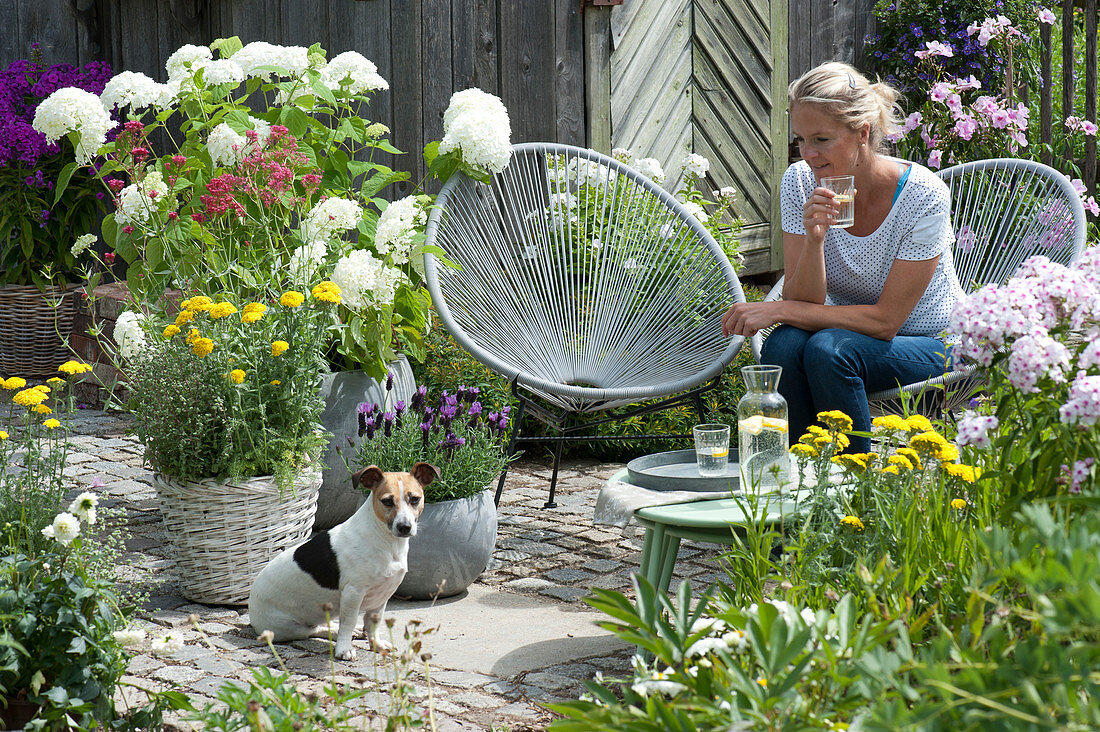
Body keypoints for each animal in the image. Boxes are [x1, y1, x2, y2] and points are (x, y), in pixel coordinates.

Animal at [249, 462, 437, 656]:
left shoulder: (382, 594)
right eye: (387, 501)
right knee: (312, 630)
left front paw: (376, 644)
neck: (386, 541)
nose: (404, 527)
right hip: (286, 627)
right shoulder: (353, 592)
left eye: (414, 499)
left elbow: (373, 624)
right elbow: (348, 621)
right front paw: (344, 649)